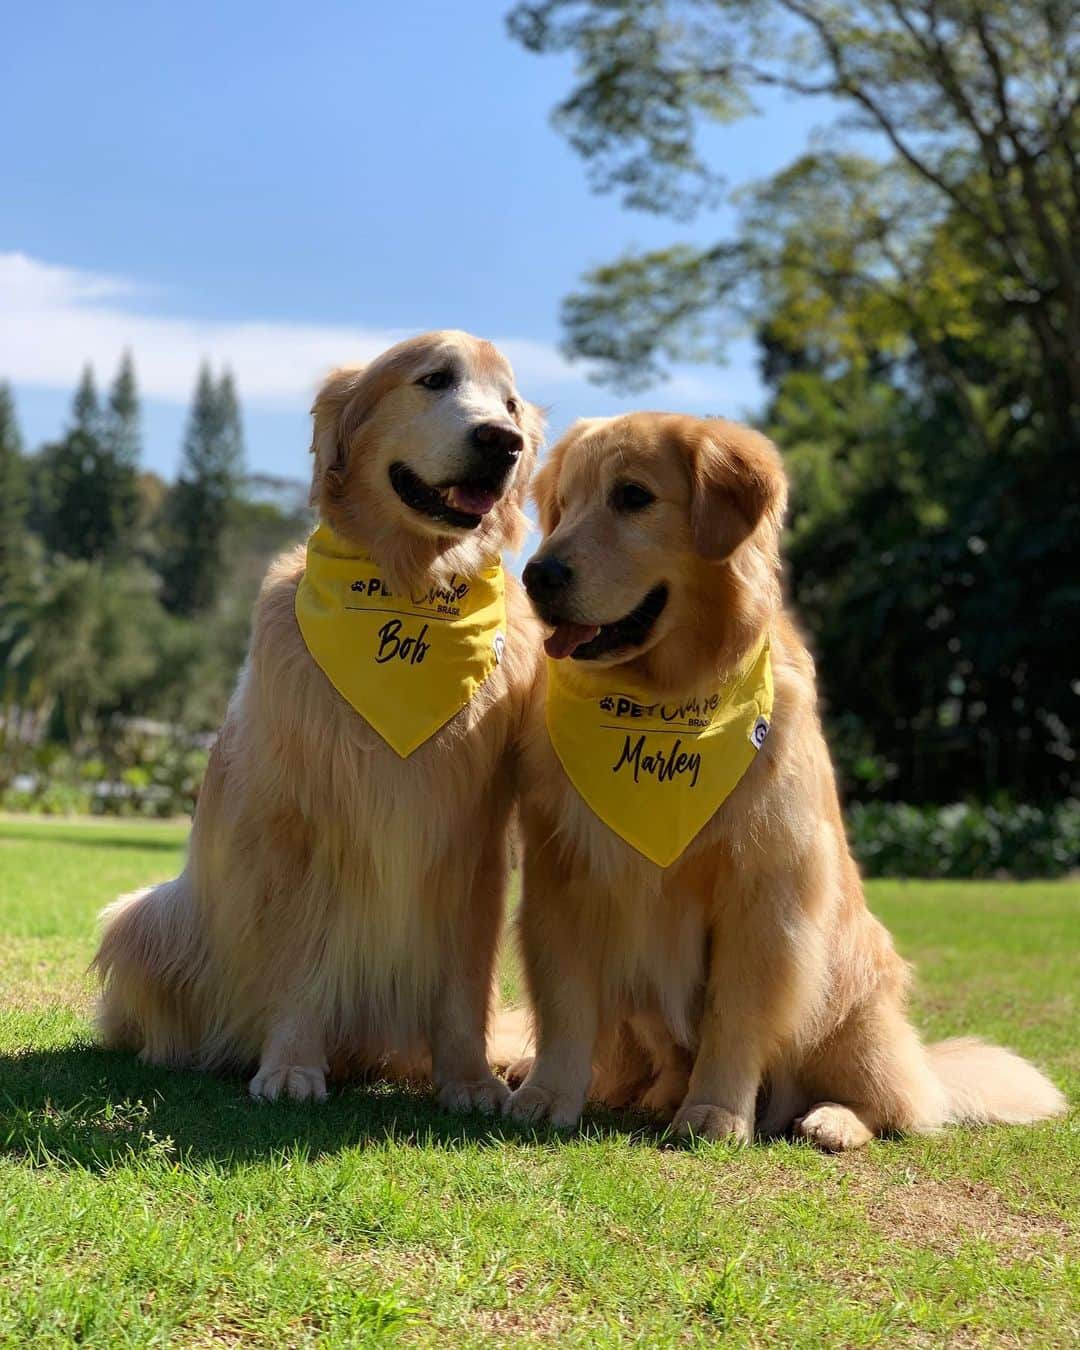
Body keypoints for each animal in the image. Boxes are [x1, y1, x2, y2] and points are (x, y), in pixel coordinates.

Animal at [97, 329, 545, 1107]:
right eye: (434, 379)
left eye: (512, 403)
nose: (503, 441)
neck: (411, 588)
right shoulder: (298, 830)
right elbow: (301, 966)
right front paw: (290, 1067)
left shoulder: (477, 842)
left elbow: (466, 982)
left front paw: (470, 1079)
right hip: (145, 915)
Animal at [507, 413, 1063, 1150]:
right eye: (563, 505)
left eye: (632, 497)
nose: (537, 575)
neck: (665, 703)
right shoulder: (564, 877)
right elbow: (565, 1005)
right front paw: (547, 1093)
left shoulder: (766, 889)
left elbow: (736, 1015)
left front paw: (714, 1112)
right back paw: (648, 1093)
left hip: (852, 997)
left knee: (897, 1104)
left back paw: (832, 1119)